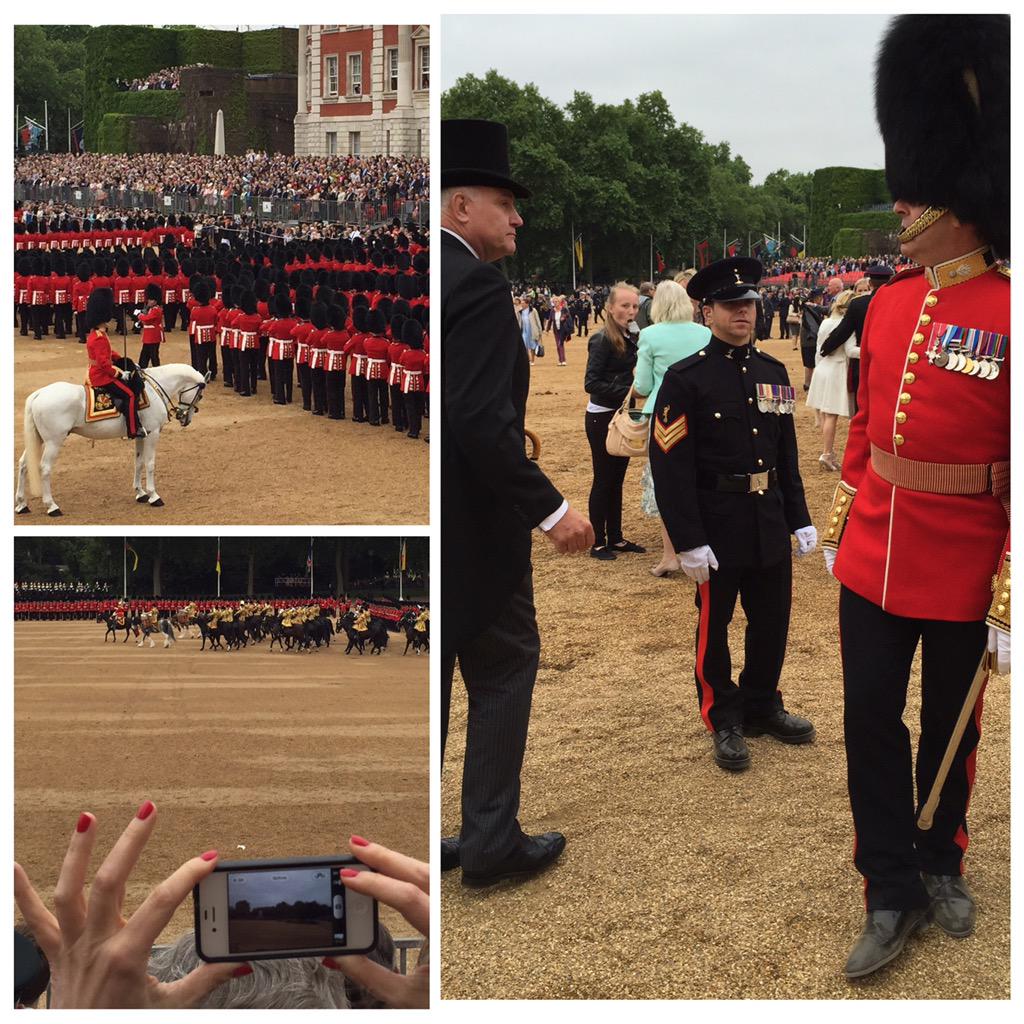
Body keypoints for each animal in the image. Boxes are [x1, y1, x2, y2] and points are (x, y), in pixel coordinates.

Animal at [14, 364, 206, 516]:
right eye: (200, 396)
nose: (184, 418)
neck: (153, 389)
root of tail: (39, 393)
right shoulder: (153, 434)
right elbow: (150, 463)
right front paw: (153, 495)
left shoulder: (141, 434)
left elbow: (139, 462)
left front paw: (140, 493)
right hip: (53, 442)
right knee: (45, 468)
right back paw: (52, 506)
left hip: (39, 439)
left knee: (24, 464)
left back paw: (22, 504)